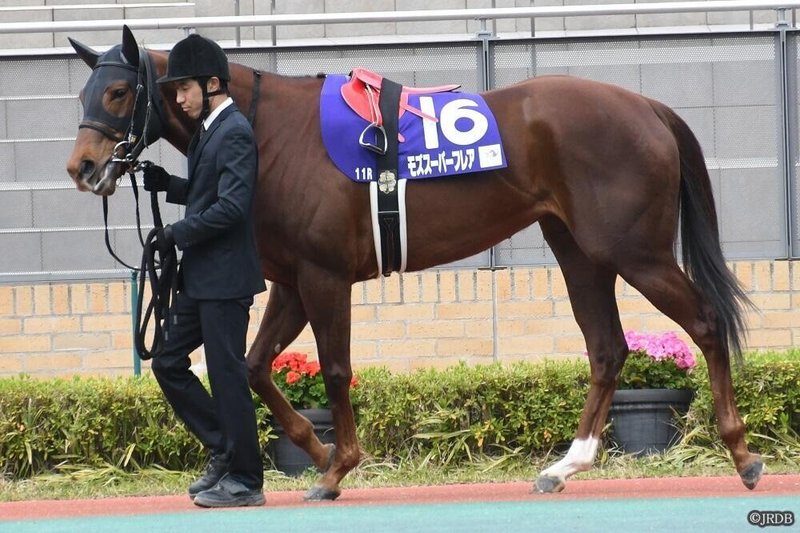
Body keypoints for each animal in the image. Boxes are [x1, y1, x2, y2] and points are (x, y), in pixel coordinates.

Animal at [65, 26, 760, 498]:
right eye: (85, 92)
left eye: (120, 91)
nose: (83, 168)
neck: (273, 132)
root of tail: (649, 107)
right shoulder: (292, 281)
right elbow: (258, 367)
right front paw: (315, 451)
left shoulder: (323, 277)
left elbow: (335, 370)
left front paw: (337, 467)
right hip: (581, 253)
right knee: (609, 348)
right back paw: (566, 465)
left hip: (635, 252)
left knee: (703, 324)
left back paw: (742, 453)